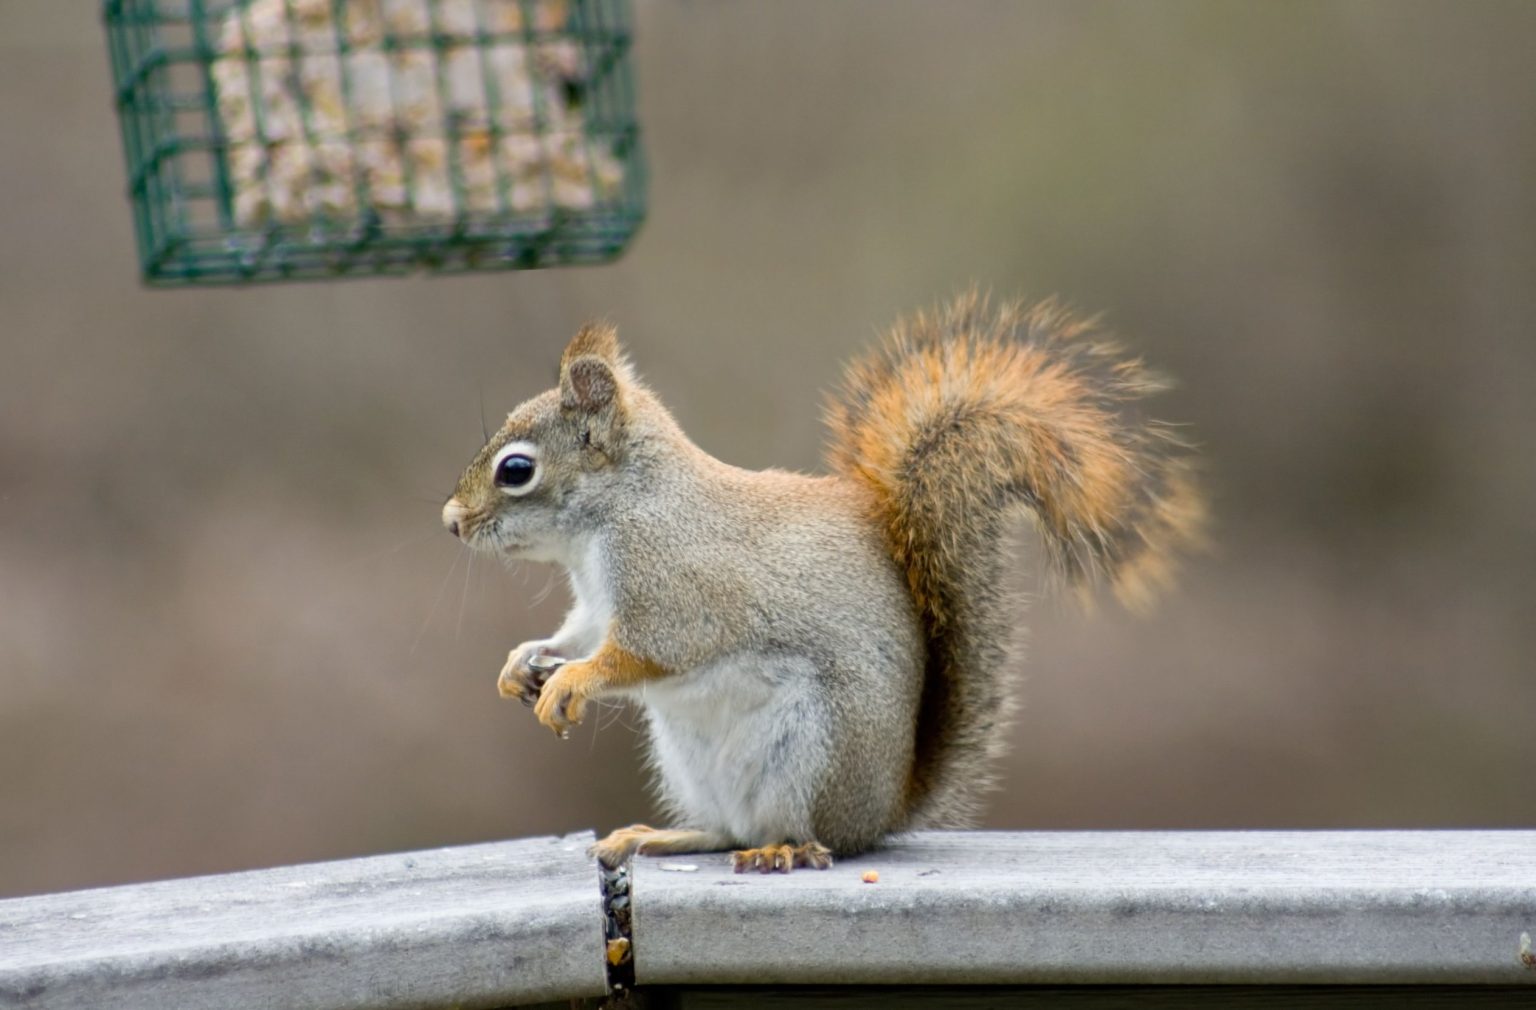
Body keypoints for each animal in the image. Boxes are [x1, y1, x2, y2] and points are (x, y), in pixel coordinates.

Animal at [445, 288, 1210, 865]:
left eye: (517, 470)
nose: (451, 521)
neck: (614, 516)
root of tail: (882, 812)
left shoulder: (674, 584)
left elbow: (646, 651)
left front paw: (571, 682)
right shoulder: (595, 603)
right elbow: (576, 633)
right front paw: (524, 663)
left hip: (810, 749)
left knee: (800, 833)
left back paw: (783, 849)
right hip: (690, 760)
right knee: (725, 830)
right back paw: (661, 836)